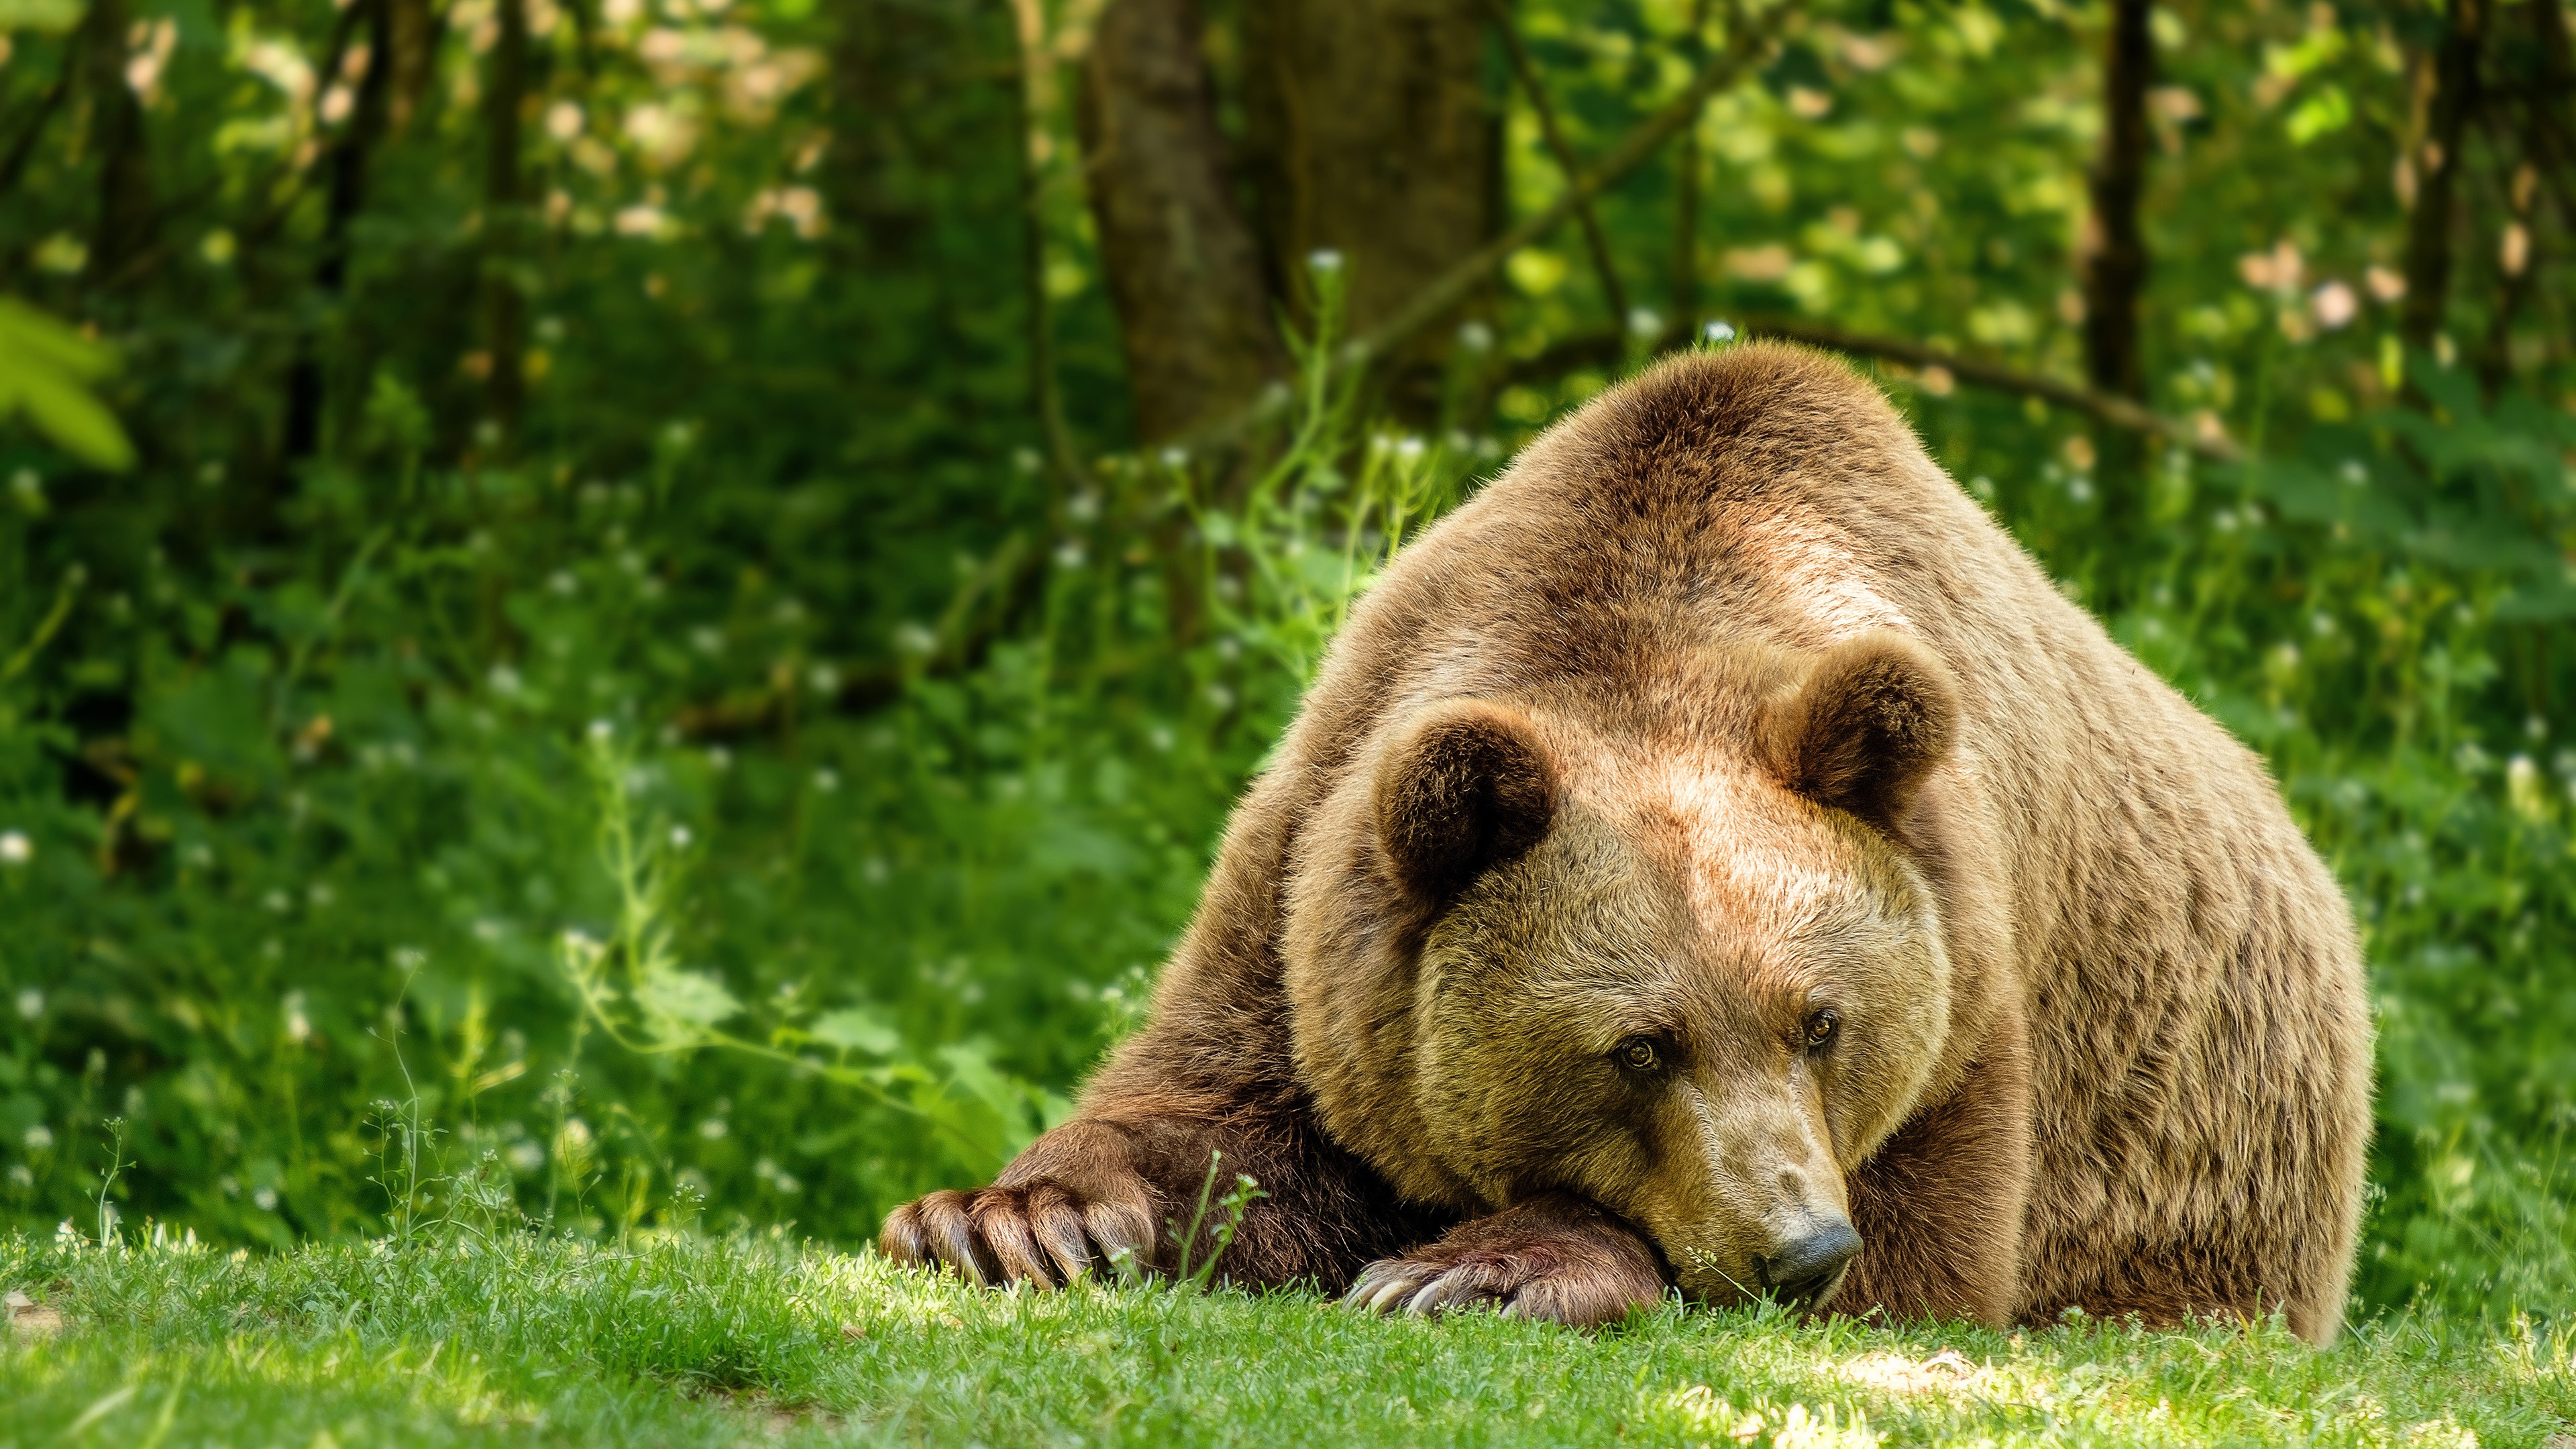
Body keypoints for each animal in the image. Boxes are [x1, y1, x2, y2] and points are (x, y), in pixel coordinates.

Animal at [885, 343, 2369, 1340]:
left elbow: (1922, 1262)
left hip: (2209, 1177)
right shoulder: (1317, 875)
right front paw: (1011, 1220)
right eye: (1639, 1046)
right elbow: (1220, 1112)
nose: (1798, 1246)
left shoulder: (1969, 1002)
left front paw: (1474, 1266)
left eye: (1823, 1020)